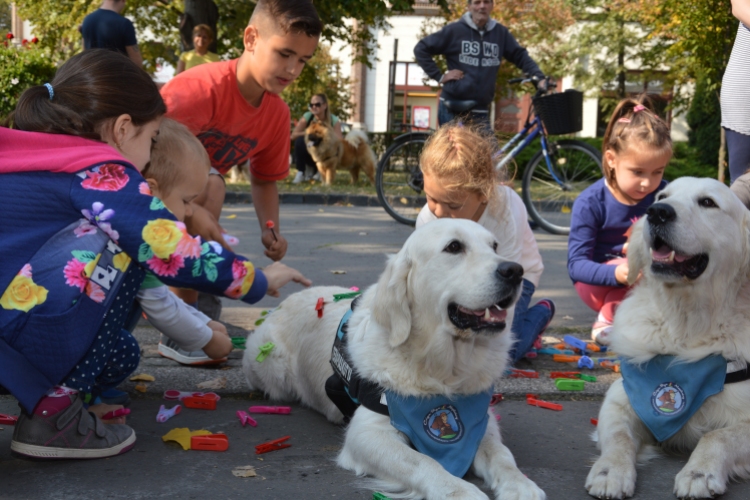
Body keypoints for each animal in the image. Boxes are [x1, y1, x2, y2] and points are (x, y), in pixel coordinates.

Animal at [245, 220, 548, 500]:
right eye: (453, 247)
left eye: (495, 246)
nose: (514, 271)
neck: (442, 369)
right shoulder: (367, 432)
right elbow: (423, 461)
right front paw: (459, 491)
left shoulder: (480, 420)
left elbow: (501, 455)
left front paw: (520, 485)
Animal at [592, 178, 750, 498]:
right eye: (662, 196)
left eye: (708, 202)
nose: (658, 213)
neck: (686, 325)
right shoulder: (621, 396)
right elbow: (619, 436)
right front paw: (609, 470)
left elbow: (718, 435)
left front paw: (699, 472)